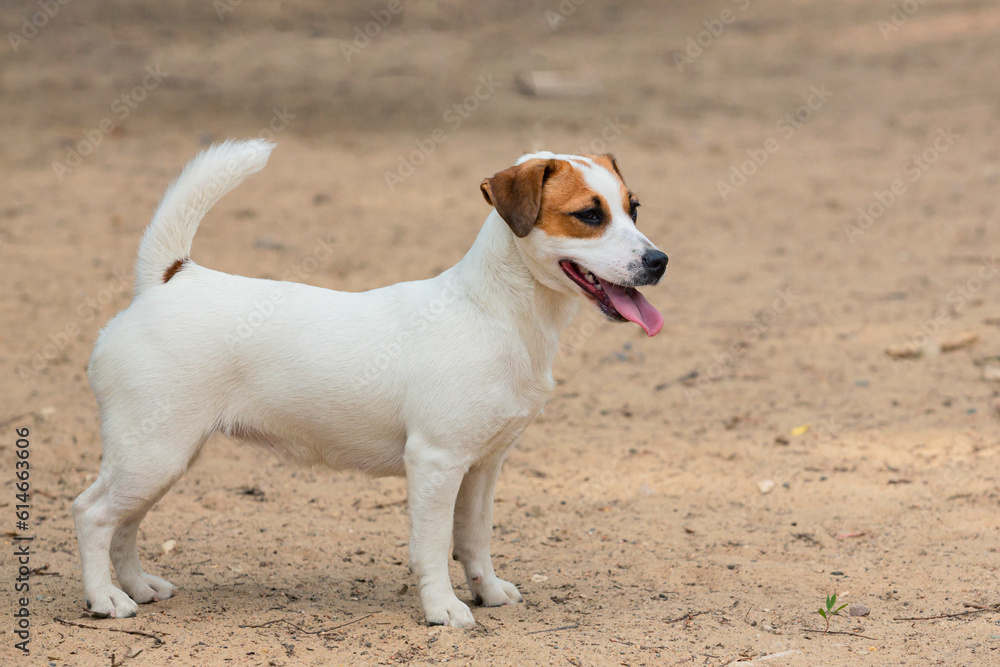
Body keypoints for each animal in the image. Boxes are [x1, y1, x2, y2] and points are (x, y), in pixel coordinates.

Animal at [74, 140, 668, 628]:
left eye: (634, 208)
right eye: (588, 215)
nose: (659, 260)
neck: (495, 311)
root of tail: (169, 278)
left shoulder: (482, 466)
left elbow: (474, 538)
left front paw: (488, 593)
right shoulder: (436, 463)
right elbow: (433, 546)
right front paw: (443, 609)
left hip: (163, 460)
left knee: (125, 525)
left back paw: (137, 588)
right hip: (153, 455)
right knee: (93, 514)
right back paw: (105, 600)